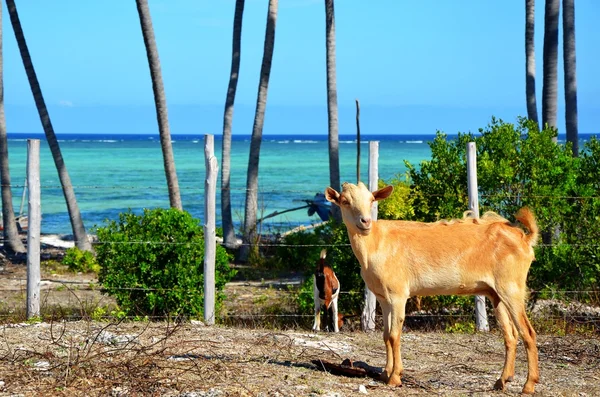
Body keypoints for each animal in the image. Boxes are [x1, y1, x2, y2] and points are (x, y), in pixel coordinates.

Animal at [326, 182, 540, 392]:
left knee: (528, 332)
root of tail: (524, 239)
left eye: (371, 200)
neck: (376, 243)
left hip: (511, 287)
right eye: (345, 201)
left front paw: (395, 377)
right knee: (510, 335)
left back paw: (528, 385)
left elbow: (395, 335)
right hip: (496, 294)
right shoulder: (383, 297)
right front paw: (385, 373)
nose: (365, 222)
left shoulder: (398, 294)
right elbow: (386, 335)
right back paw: (501, 381)